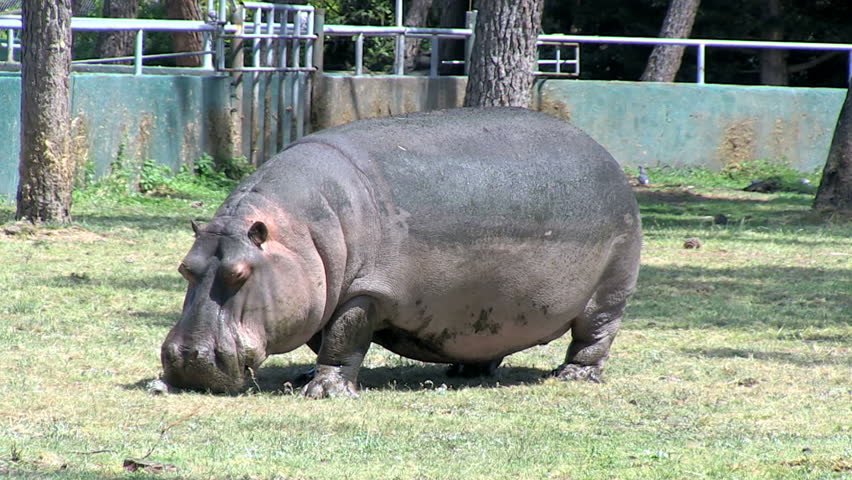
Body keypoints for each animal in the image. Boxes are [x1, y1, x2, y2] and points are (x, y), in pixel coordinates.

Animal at [161, 107, 641, 398]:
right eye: (185, 268)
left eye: (241, 273)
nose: (187, 361)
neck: (300, 235)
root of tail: (606, 155)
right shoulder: (326, 288)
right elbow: (323, 337)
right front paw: (305, 376)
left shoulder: (365, 291)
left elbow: (343, 337)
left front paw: (324, 391)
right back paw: (466, 371)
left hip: (611, 288)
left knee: (594, 335)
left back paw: (575, 375)